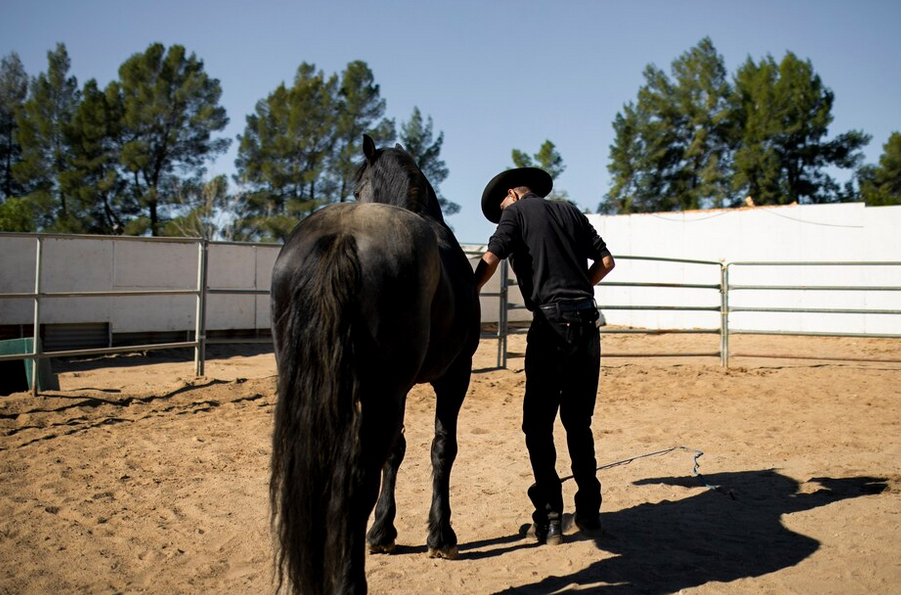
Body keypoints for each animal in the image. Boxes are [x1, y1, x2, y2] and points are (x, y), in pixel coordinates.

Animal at [268, 136, 478, 595]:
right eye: (355, 185)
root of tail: (343, 236)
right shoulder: (454, 376)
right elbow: (442, 448)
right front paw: (441, 536)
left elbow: (396, 452)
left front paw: (383, 531)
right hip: (384, 394)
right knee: (354, 480)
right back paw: (351, 582)